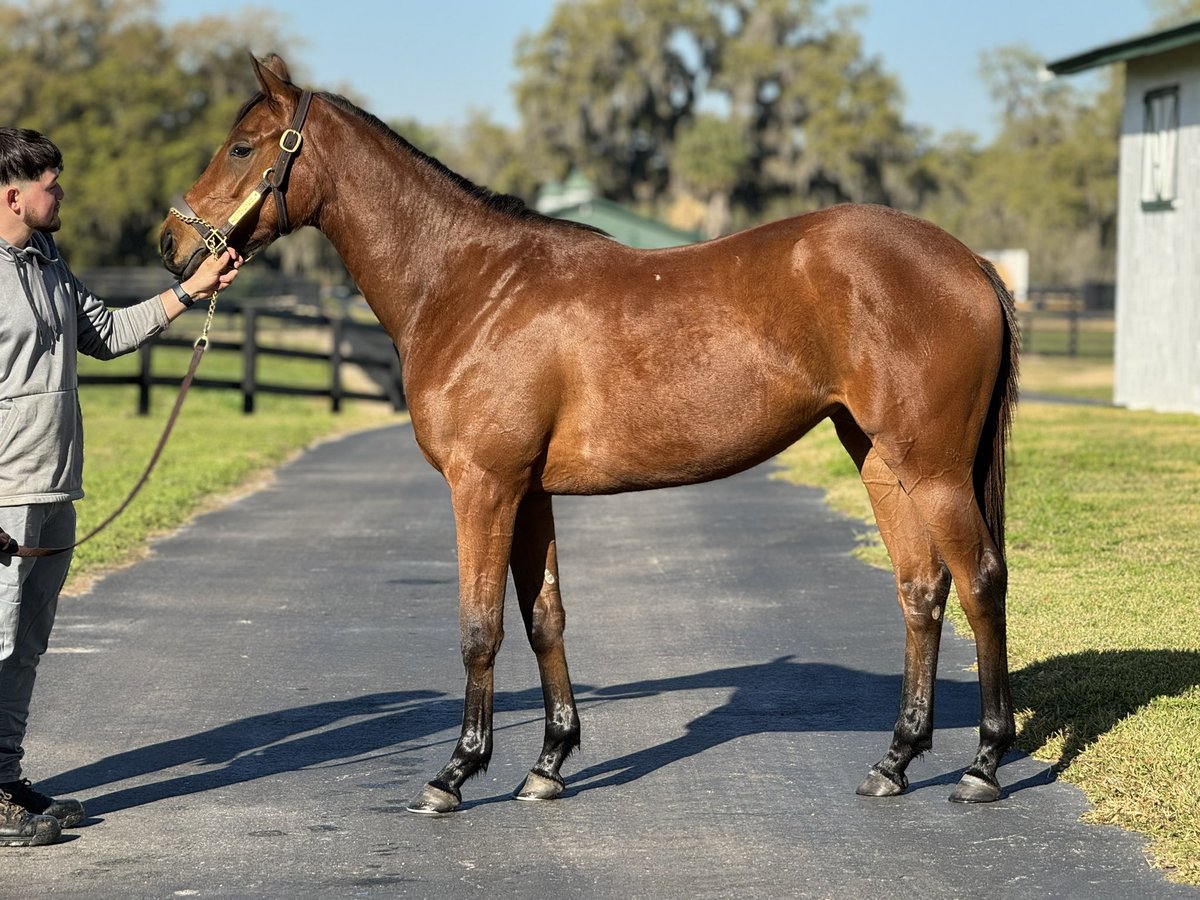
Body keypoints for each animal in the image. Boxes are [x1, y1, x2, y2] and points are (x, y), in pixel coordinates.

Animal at [159, 56, 1022, 816]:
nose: (171, 244)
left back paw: (982, 764)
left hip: (934, 467)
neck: (470, 285)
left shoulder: (483, 486)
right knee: (921, 590)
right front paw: (547, 765)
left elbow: (480, 628)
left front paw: (455, 774)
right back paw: (895, 761)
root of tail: (969, 262)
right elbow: (544, 617)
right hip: (879, 459)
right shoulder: (528, 493)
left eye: (242, 147)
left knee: (979, 580)